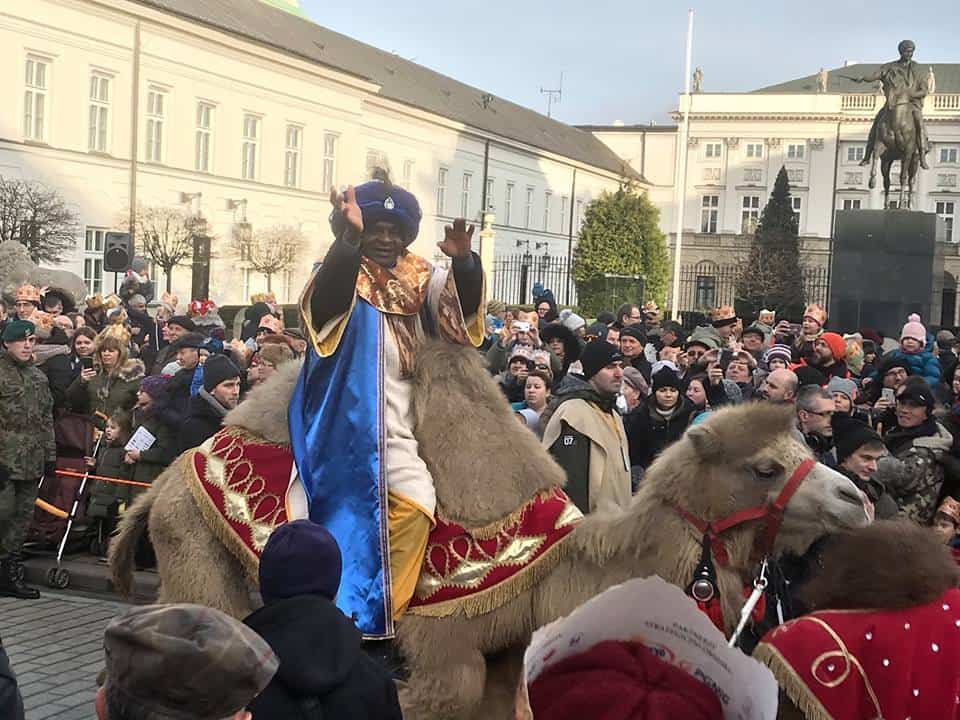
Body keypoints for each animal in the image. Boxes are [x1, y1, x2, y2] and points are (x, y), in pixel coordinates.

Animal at [109, 340, 868, 716]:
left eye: (803, 447)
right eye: (766, 467)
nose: (856, 499)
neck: (559, 567)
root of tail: (170, 475)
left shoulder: (509, 658)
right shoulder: (442, 645)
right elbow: (436, 694)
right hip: (196, 551)